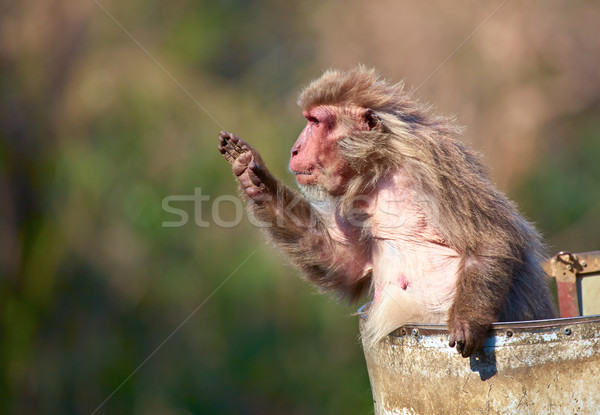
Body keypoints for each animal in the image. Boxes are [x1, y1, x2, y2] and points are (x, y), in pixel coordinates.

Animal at [217, 66, 556, 358]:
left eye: (315, 122)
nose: (295, 150)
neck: (381, 165)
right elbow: (346, 264)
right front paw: (254, 178)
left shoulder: (431, 165)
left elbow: (491, 239)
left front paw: (469, 320)